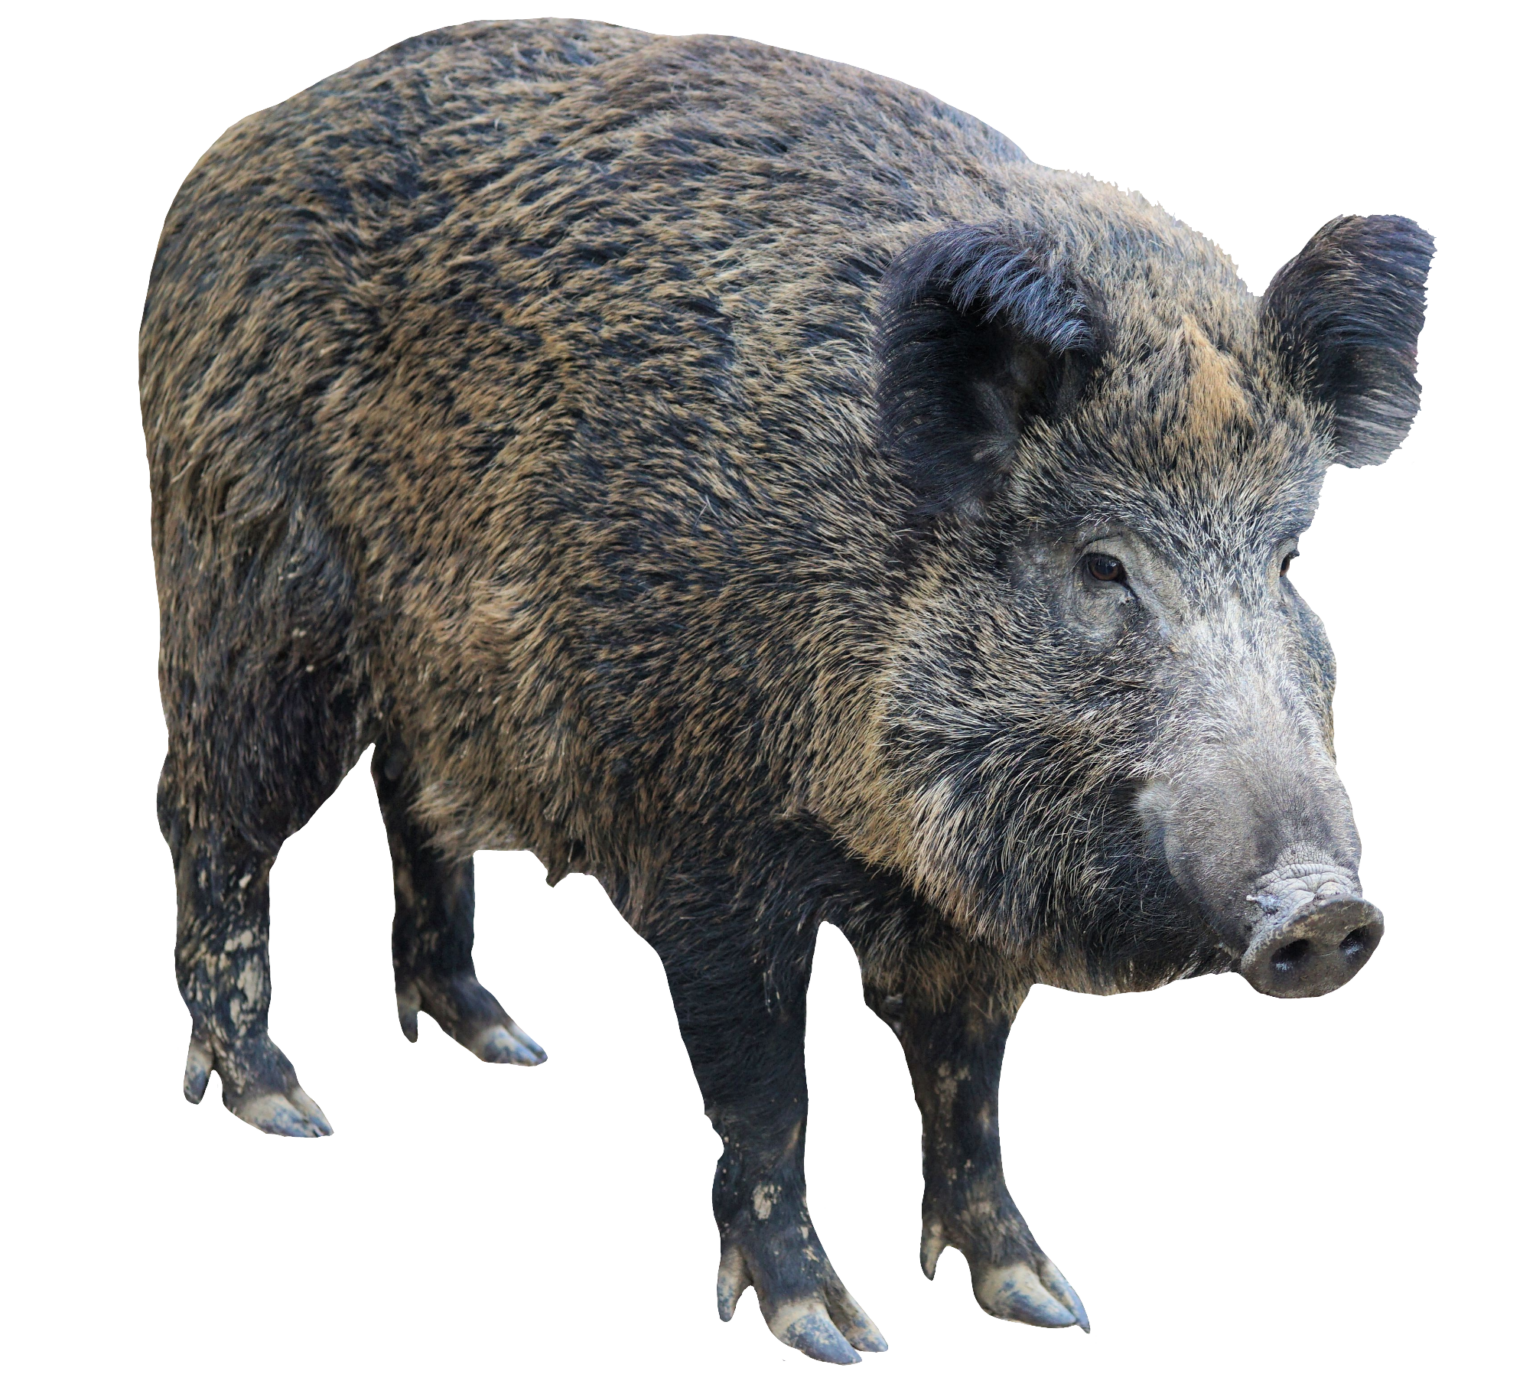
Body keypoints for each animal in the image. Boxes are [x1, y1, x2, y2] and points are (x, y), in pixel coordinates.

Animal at [141, 18, 1433, 1364]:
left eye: (1288, 558)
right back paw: (282, 1106)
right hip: (248, 600)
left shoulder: (959, 913)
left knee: (414, 804)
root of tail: (240, 147)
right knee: (211, 817)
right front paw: (831, 1333)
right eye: (1102, 565)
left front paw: (1044, 1302)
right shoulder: (701, 842)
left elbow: (968, 1088)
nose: (1327, 911)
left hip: (431, 674)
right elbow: (767, 1093)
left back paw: (505, 1045)